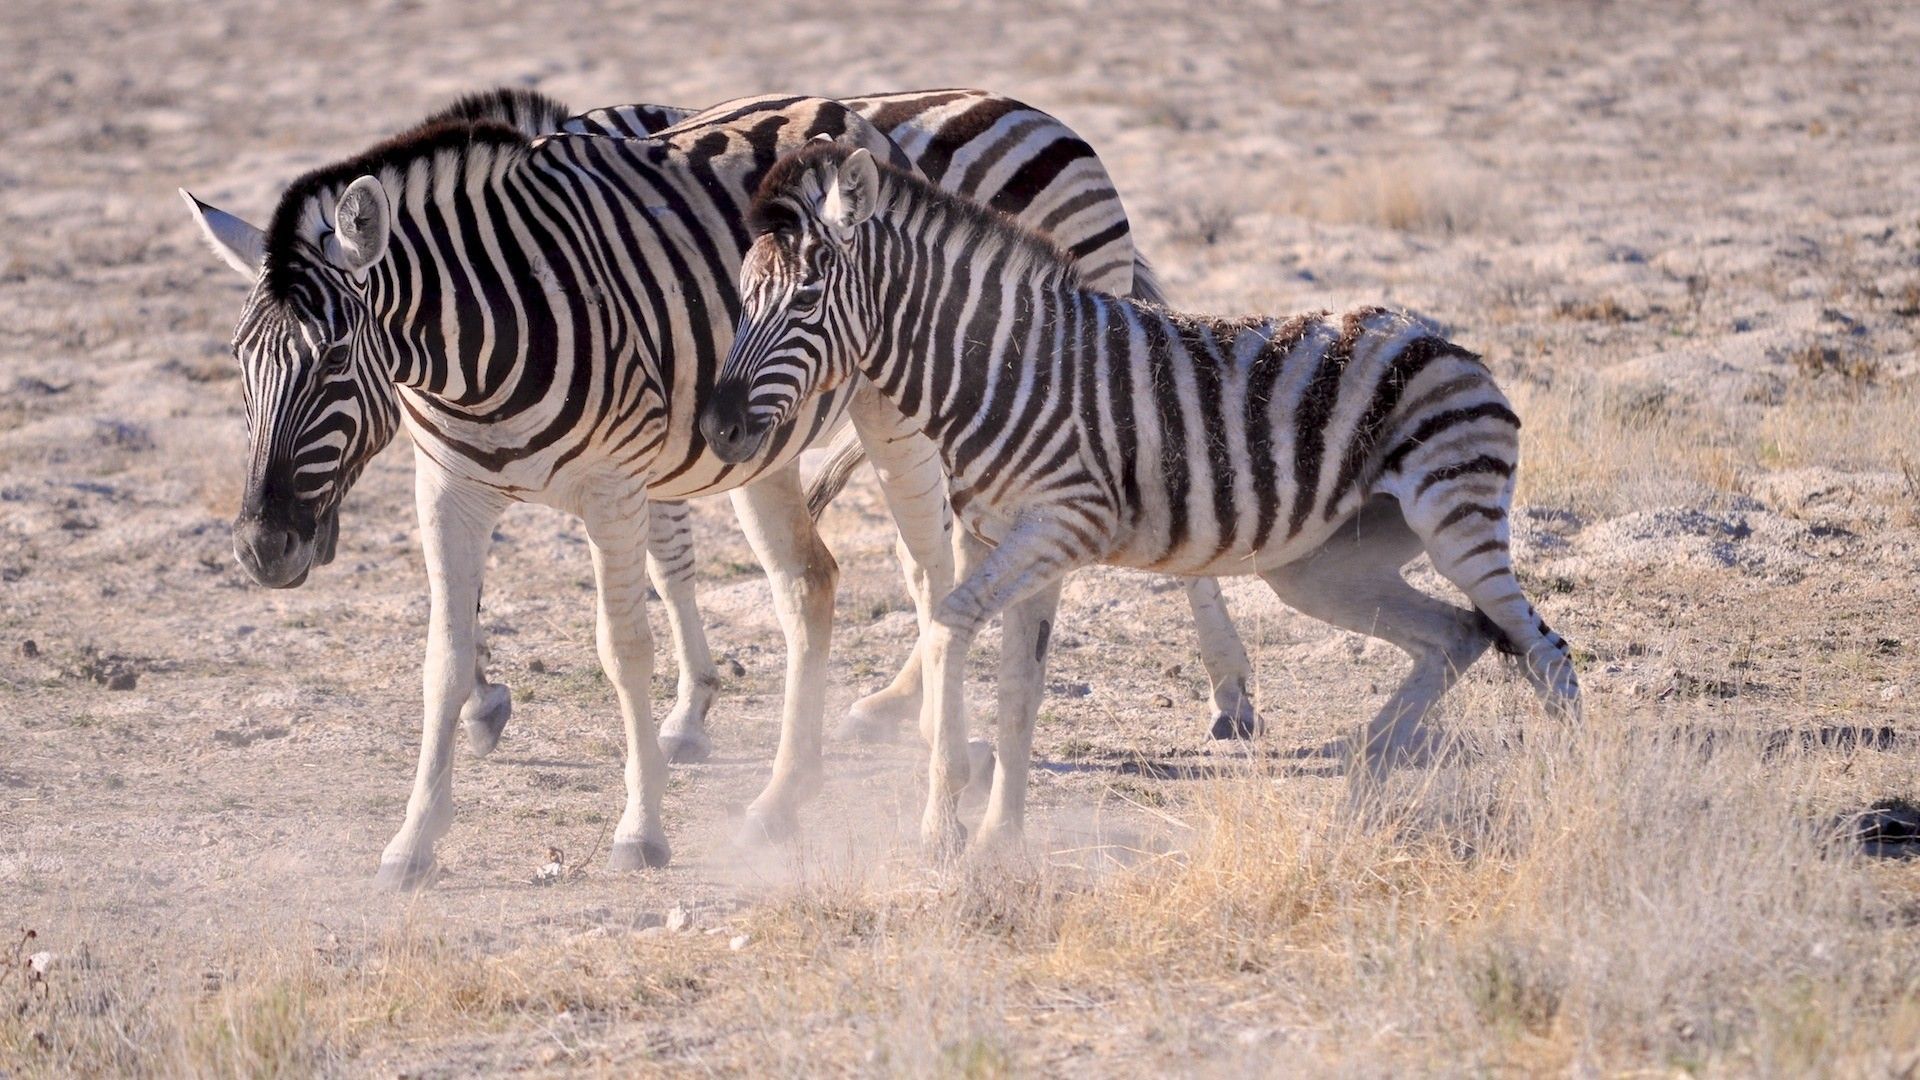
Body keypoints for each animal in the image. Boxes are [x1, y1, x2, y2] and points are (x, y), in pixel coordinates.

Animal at [702, 143, 1574, 849]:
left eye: (804, 302)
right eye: (740, 300)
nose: (717, 425)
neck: (995, 371)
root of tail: (1442, 336)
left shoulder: (1061, 526)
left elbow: (951, 630)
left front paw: (943, 826)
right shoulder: (1008, 539)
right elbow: (1018, 690)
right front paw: (998, 838)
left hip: (1455, 518)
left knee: (1543, 651)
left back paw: (1568, 800)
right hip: (1320, 568)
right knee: (1457, 635)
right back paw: (1359, 783)